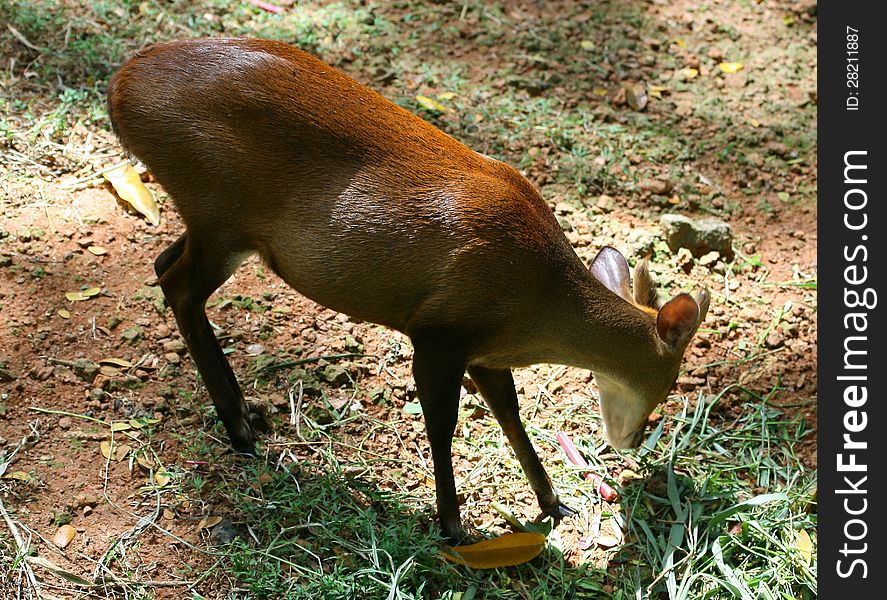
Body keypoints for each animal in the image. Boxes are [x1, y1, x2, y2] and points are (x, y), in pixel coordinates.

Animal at [107, 37, 712, 544]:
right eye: (667, 389)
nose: (633, 440)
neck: (538, 301)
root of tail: (120, 87)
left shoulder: (484, 350)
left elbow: (510, 414)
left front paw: (553, 503)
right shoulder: (439, 331)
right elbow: (443, 426)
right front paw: (453, 526)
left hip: (213, 223)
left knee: (164, 264)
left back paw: (247, 416)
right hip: (221, 212)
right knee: (179, 286)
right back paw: (239, 429)